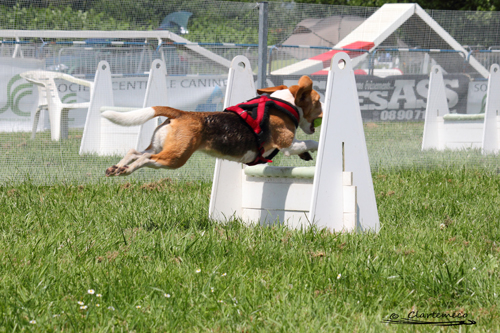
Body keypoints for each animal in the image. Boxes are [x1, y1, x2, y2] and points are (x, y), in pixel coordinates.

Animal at [103, 73, 322, 175]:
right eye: (318, 100)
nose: (323, 109)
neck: (285, 103)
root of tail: (181, 113)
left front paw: (306, 154)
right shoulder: (287, 145)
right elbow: (311, 142)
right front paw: (317, 147)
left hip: (160, 146)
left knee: (134, 152)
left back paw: (117, 168)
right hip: (175, 157)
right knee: (145, 159)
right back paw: (127, 169)